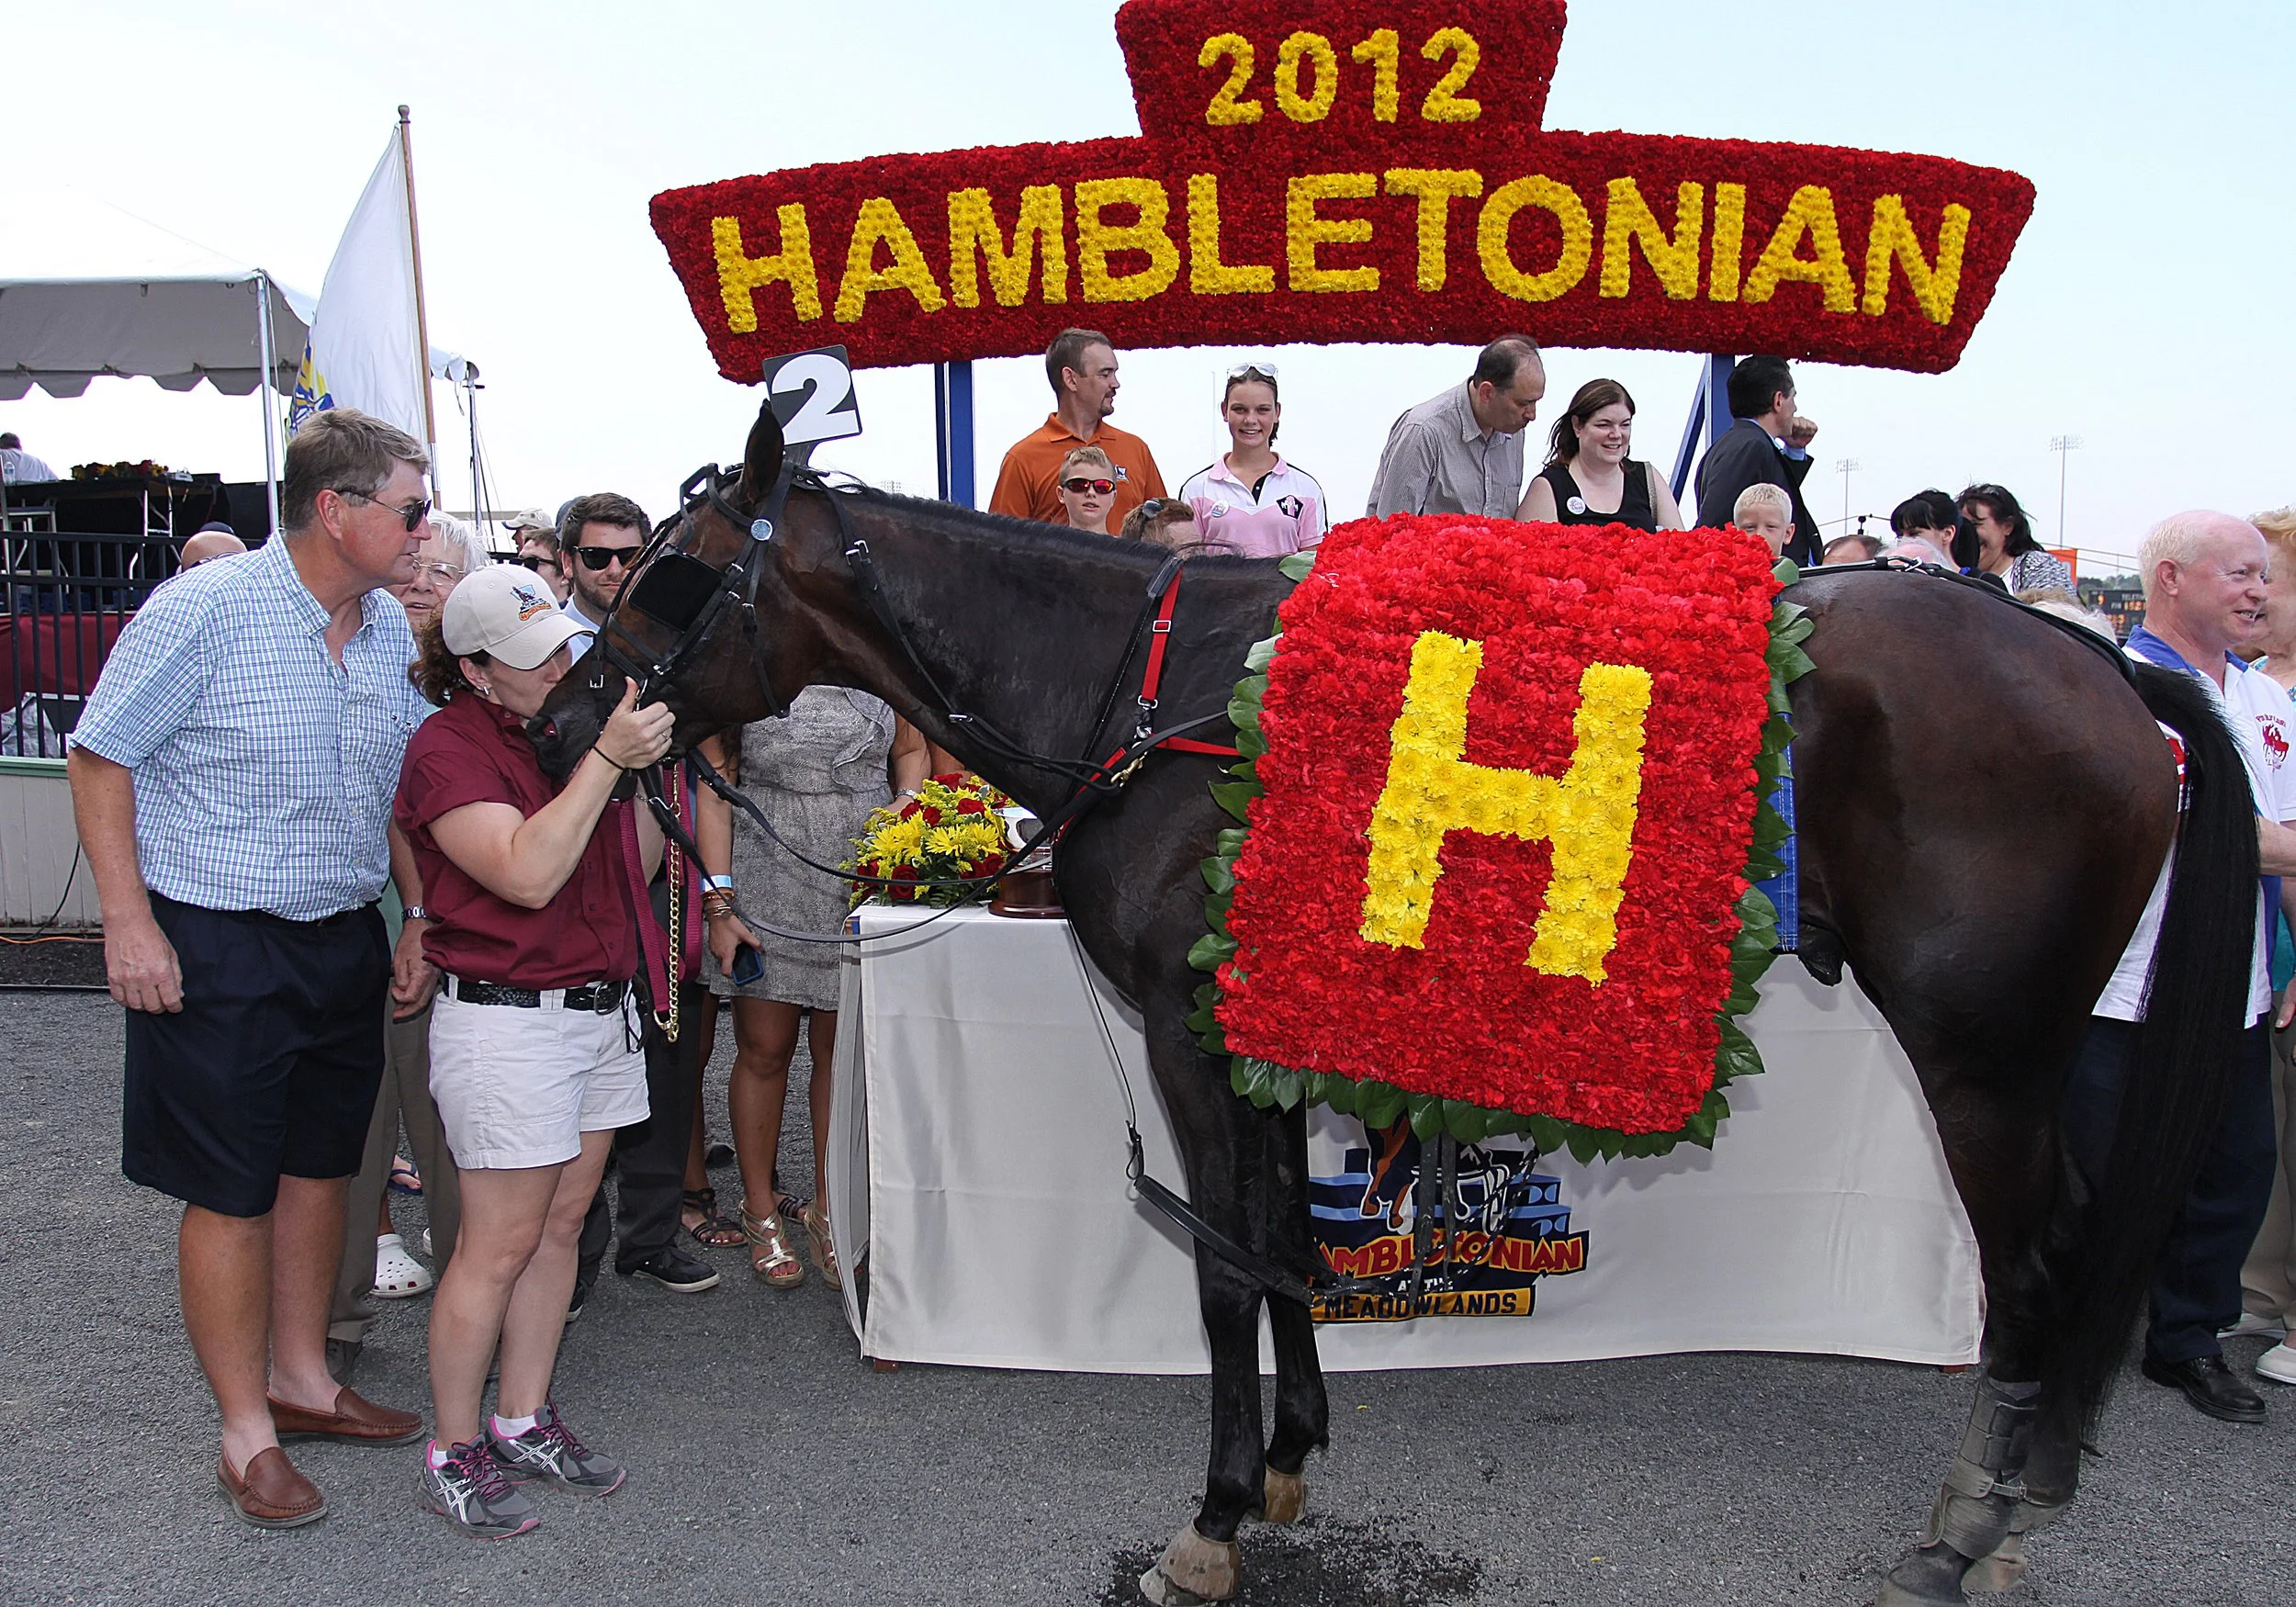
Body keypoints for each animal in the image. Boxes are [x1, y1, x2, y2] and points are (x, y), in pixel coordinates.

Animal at [533, 402, 2256, 1607]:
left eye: (678, 574)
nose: (560, 720)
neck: (1174, 709)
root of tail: (2093, 658)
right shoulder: (1265, 1043)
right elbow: (1278, 1241)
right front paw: (1290, 1461)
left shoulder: (1194, 1037)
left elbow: (1226, 1266)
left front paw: (1217, 1514)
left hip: (1982, 1055)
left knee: (2033, 1265)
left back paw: (1973, 1526)